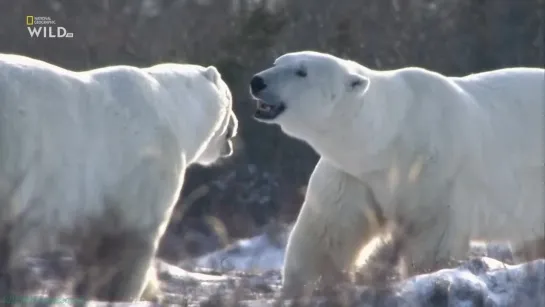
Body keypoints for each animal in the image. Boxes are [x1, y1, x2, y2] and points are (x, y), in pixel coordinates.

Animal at [0, 53, 238, 304]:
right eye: (230, 96)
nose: (235, 124)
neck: (172, 108)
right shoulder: (147, 166)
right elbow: (128, 246)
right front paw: (120, 294)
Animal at [249, 51, 540, 298]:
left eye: (301, 71)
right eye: (277, 62)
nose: (257, 81)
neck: (391, 137)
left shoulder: (433, 169)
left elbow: (430, 234)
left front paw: (426, 276)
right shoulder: (352, 175)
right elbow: (327, 235)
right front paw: (305, 289)